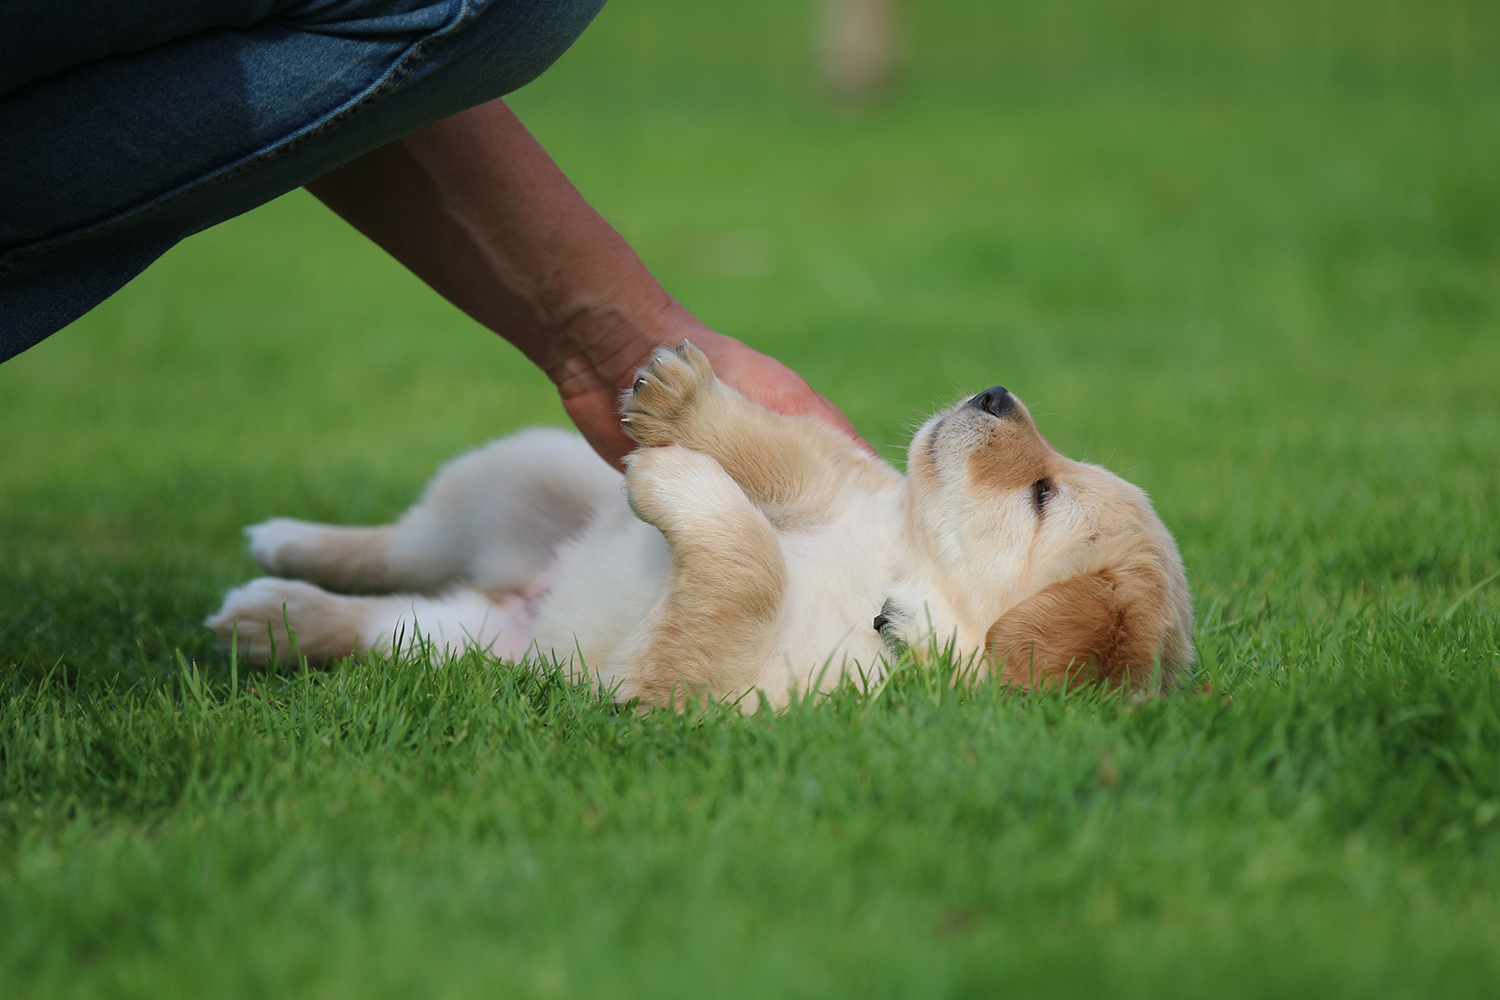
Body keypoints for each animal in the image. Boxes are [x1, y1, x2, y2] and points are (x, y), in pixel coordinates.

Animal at [207, 343, 1194, 708]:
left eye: (1043, 496)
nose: (994, 392)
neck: (890, 581)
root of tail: (519, 593)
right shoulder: (840, 482)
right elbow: (775, 456)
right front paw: (683, 405)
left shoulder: (679, 689)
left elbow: (746, 570)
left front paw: (673, 470)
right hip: (516, 471)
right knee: (397, 544)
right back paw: (280, 549)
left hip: (466, 646)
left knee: (384, 619)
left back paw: (268, 620)